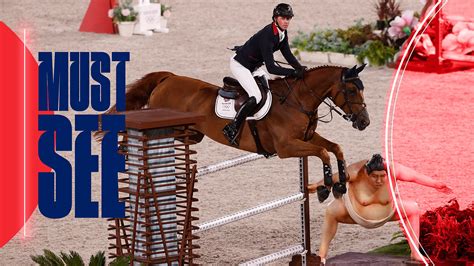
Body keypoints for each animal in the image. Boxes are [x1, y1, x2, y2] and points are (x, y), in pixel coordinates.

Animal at [102, 65, 372, 200]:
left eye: (362, 88)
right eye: (351, 90)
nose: (365, 122)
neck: (297, 100)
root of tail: (168, 78)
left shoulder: (305, 138)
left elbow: (335, 148)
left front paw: (341, 183)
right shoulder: (287, 147)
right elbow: (323, 152)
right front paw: (326, 188)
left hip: (191, 133)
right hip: (169, 126)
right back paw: (123, 148)